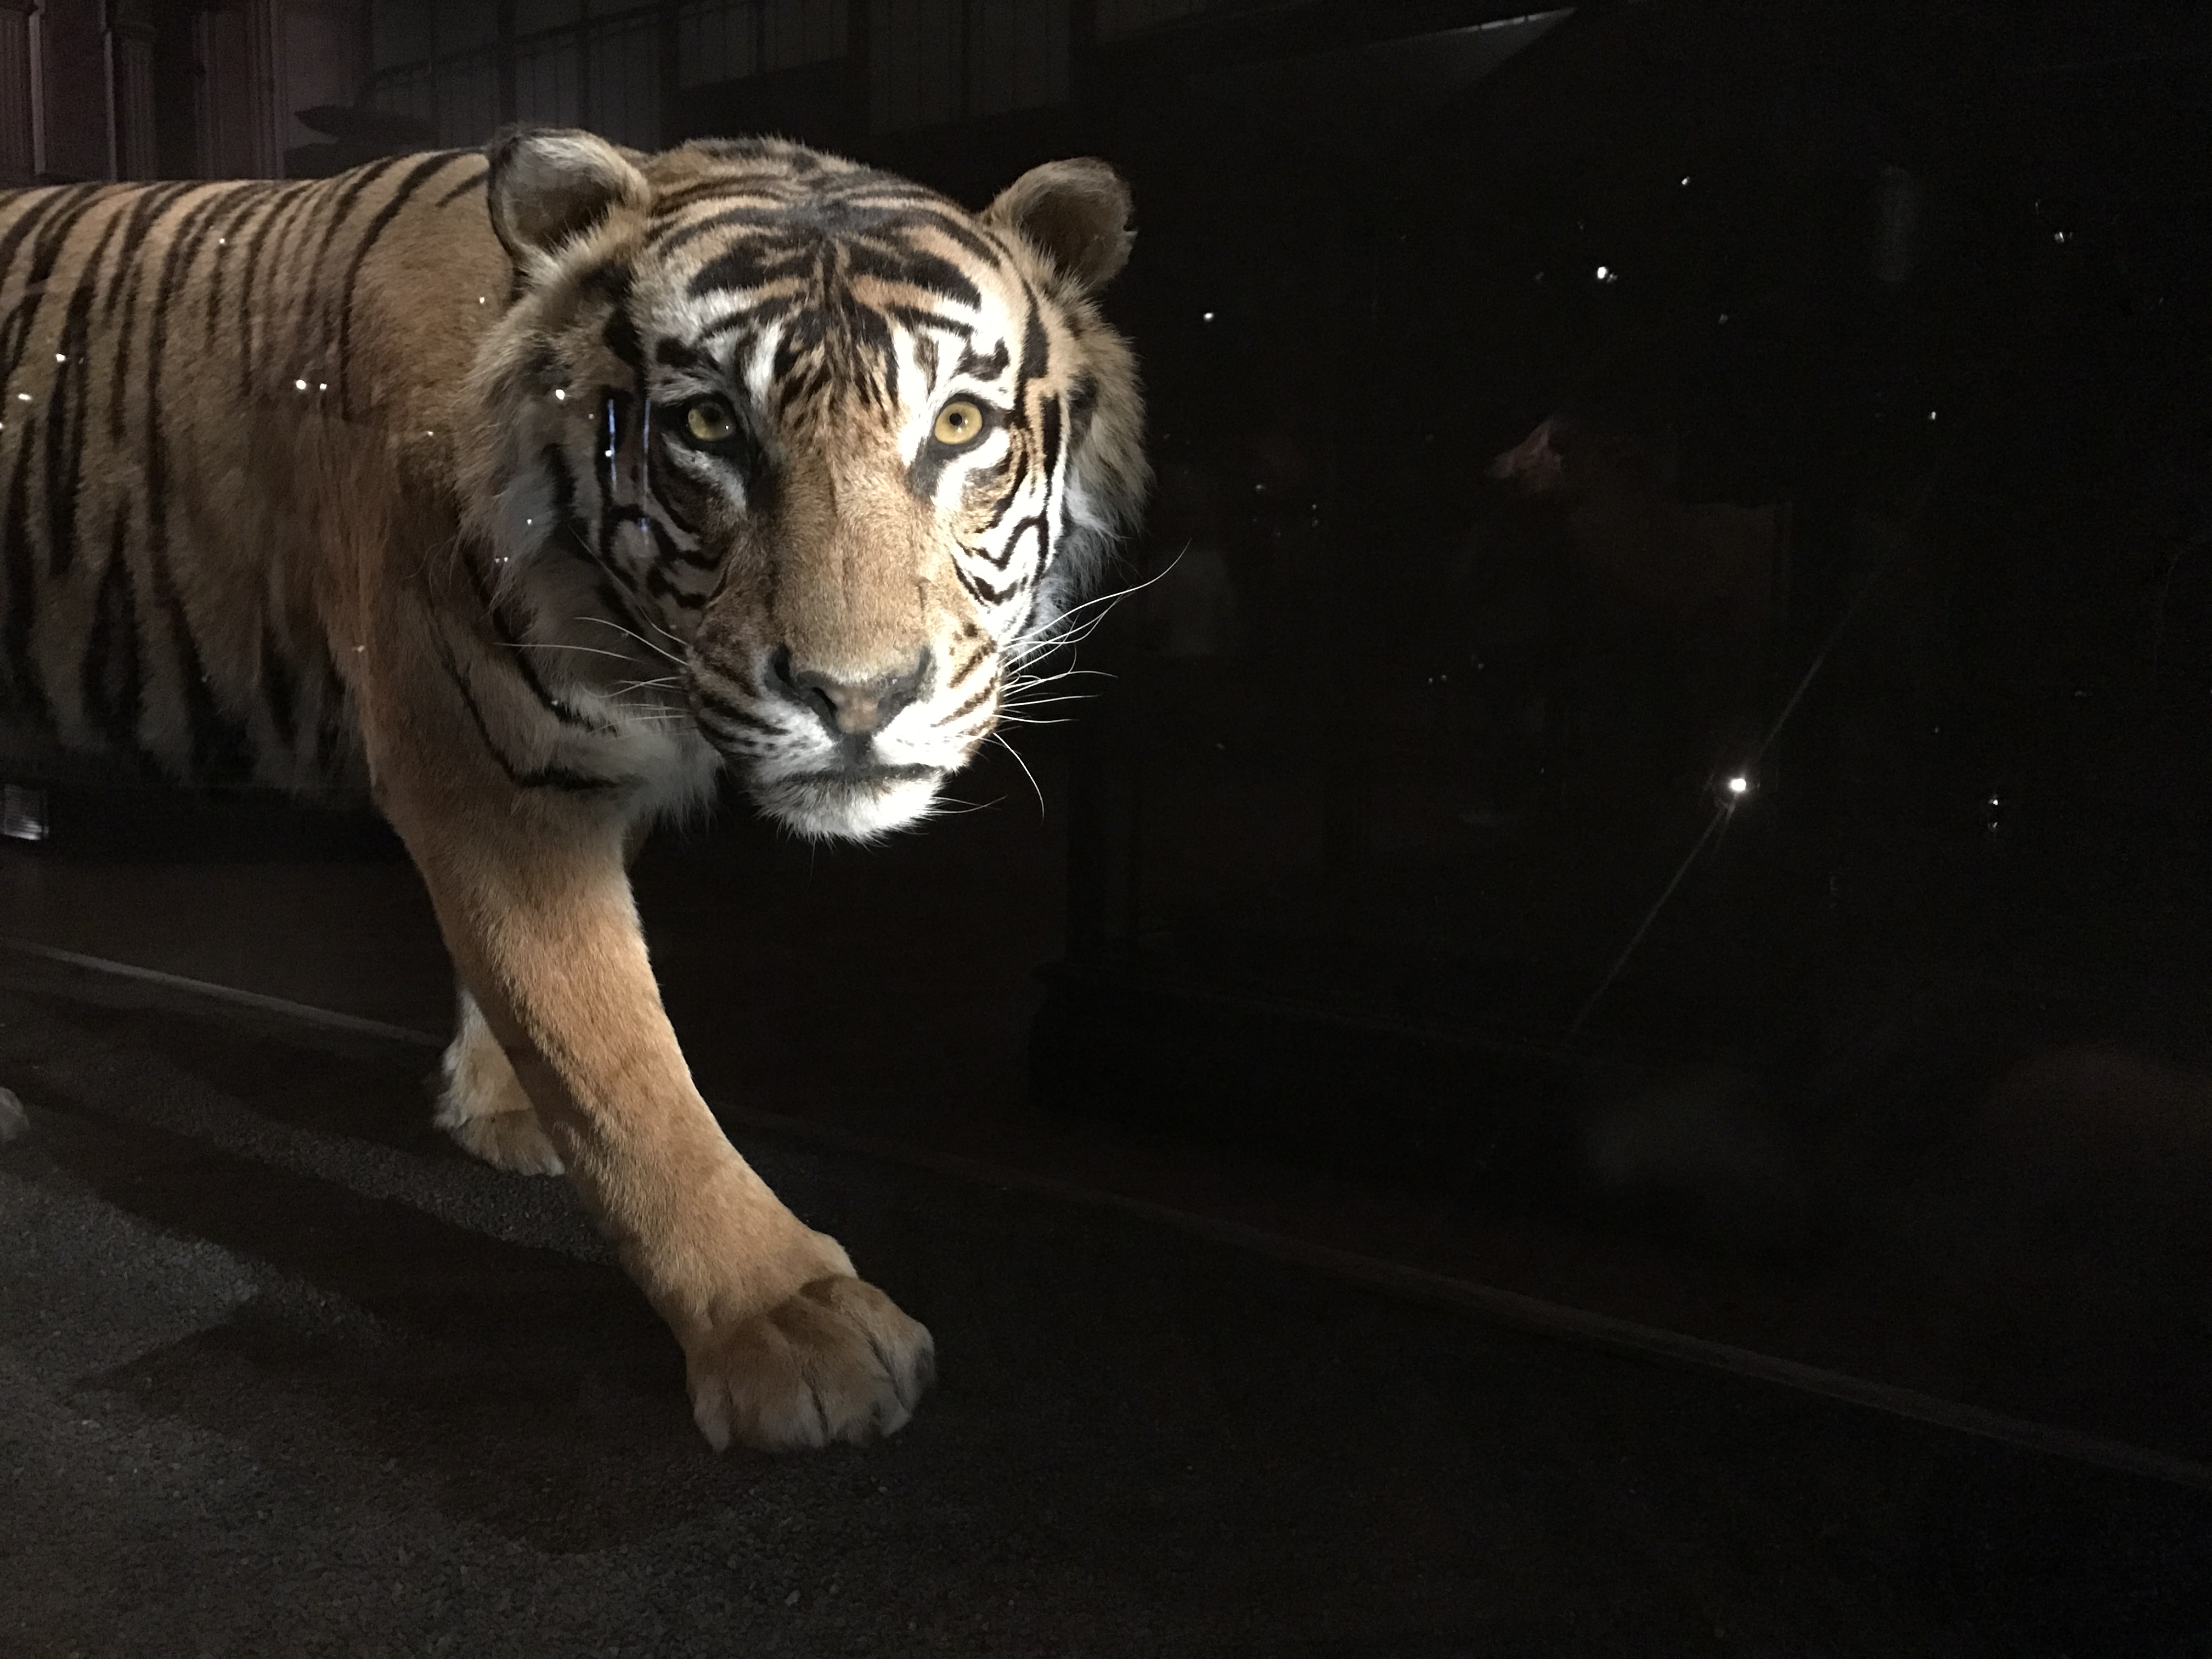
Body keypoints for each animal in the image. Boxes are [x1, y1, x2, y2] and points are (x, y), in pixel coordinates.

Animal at [0, 127, 1148, 1451]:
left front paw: (495, 1105)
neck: (631, 631)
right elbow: (614, 1056)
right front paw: (786, 1323)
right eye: (708, 424)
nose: (859, 698)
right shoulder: (483, 774)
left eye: (957, 423)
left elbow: (539, 1004)